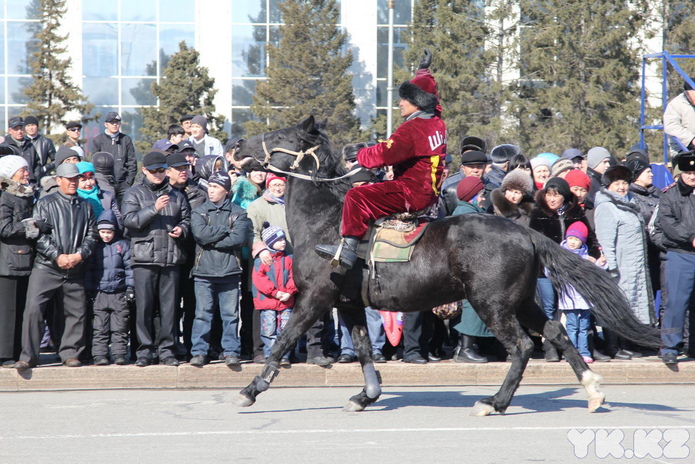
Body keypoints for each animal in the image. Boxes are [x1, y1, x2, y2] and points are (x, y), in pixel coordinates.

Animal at [235, 118, 664, 416]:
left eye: (281, 134)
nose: (237, 144)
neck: (326, 223)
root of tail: (523, 231)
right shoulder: (350, 304)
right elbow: (364, 351)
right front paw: (366, 395)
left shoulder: (316, 298)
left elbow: (284, 341)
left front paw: (252, 390)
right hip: (522, 300)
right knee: (556, 331)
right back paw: (592, 390)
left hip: (494, 303)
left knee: (523, 346)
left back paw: (495, 402)